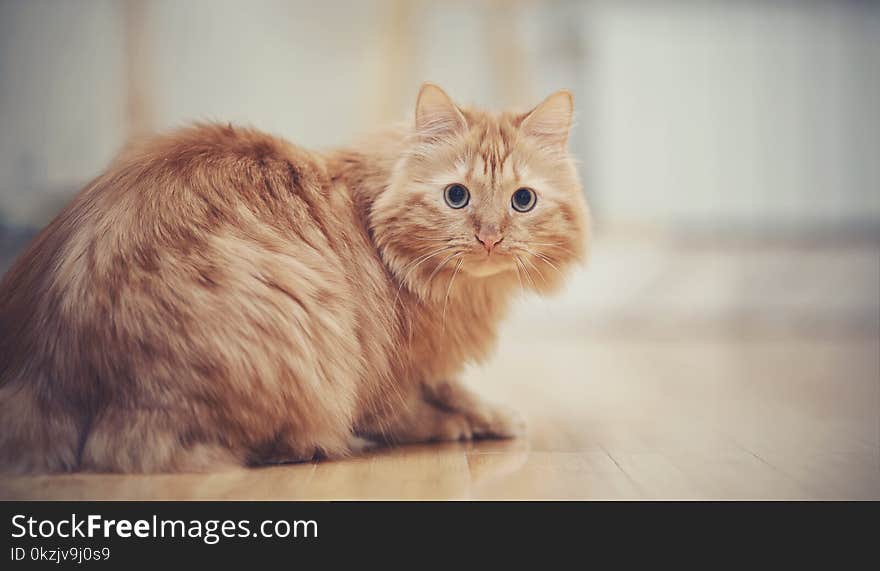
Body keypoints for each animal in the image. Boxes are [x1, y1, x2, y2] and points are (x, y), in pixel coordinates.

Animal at [0, 84, 592, 474]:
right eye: (456, 196)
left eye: (522, 201)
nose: (490, 237)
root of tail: (47, 367)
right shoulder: (385, 364)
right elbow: (408, 408)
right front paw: (455, 424)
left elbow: (453, 386)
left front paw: (490, 412)